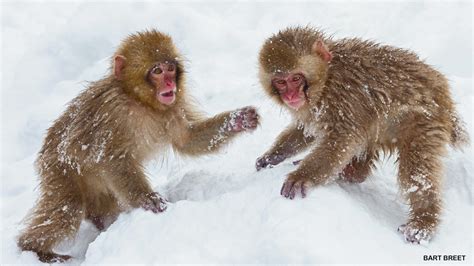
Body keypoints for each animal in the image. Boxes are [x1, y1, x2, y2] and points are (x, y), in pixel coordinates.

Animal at [17, 29, 260, 262]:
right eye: (157, 71)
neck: (140, 101)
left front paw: (238, 120)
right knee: (67, 211)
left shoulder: (174, 107)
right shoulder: (113, 112)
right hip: (60, 171)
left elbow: (186, 141)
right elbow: (111, 159)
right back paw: (34, 249)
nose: (170, 83)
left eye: (170, 68)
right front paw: (150, 200)